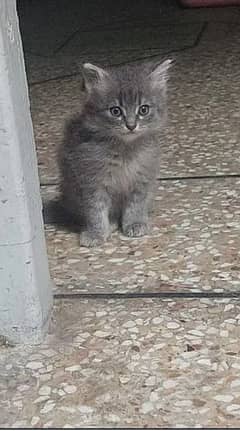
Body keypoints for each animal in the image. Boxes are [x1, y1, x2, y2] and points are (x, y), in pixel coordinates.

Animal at [59, 59, 172, 246]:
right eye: (115, 111)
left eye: (143, 109)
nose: (131, 126)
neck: (125, 150)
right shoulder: (91, 181)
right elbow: (95, 210)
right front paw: (96, 233)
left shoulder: (142, 178)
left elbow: (136, 205)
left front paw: (135, 223)